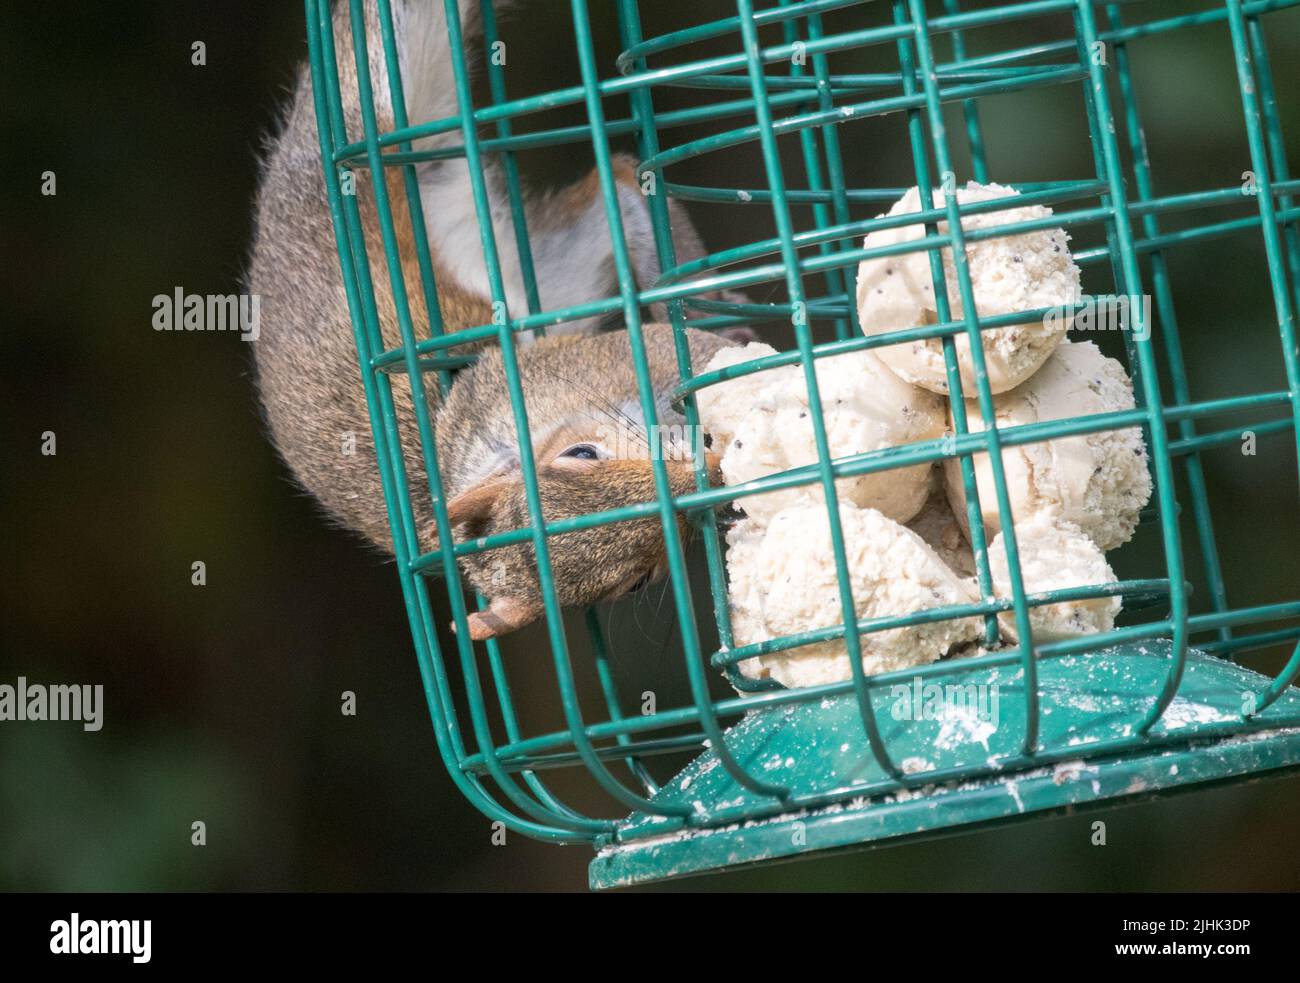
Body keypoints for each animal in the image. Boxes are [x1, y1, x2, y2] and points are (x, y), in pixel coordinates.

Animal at [249, 0, 748, 642]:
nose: (707, 477)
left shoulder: (572, 368)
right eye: (639, 580)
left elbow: (671, 349)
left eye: (581, 454)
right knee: (611, 183)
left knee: (619, 181)